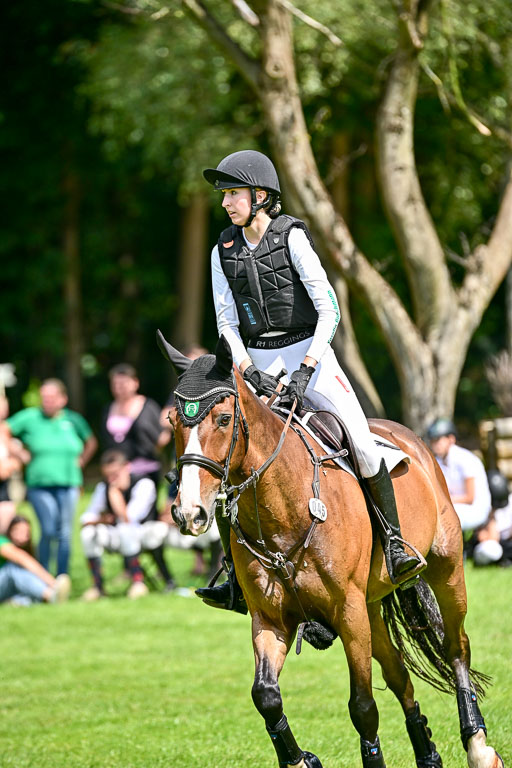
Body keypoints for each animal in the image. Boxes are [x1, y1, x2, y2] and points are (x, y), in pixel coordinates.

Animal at [157, 330, 504, 768]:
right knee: (399, 675)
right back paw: (427, 754)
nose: (189, 512)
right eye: (172, 422)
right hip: (372, 606)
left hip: (445, 568)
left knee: (456, 647)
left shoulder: (348, 610)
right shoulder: (271, 619)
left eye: (222, 419)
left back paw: (478, 745)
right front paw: (300, 759)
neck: (284, 508)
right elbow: (266, 696)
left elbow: (363, 706)